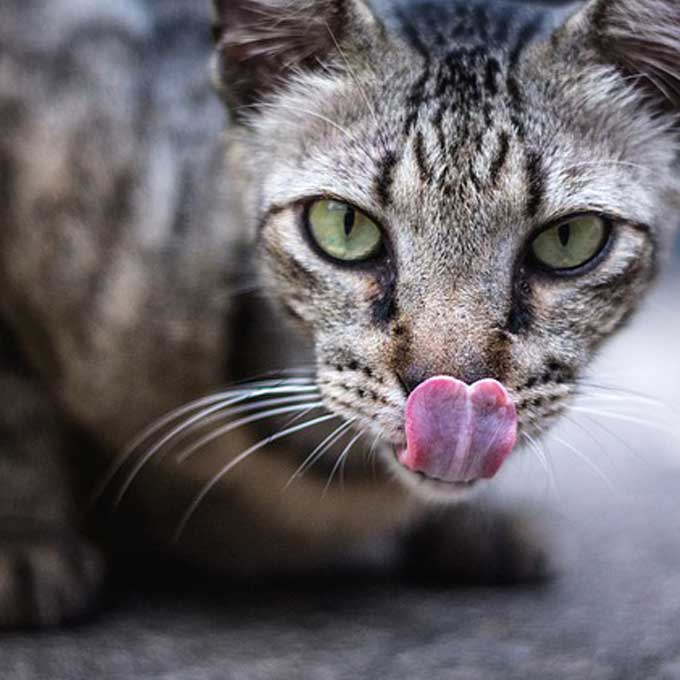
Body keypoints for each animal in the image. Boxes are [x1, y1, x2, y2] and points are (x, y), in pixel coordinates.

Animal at [0, 0, 676, 628]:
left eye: (569, 240)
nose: (454, 391)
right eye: (343, 225)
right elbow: (18, 402)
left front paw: (474, 525)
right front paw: (26, 542)